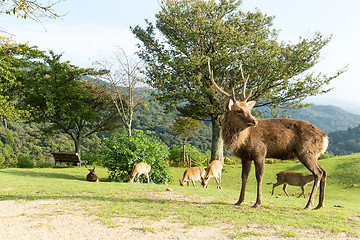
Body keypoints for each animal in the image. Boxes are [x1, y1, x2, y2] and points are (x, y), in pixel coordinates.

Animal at [208, 60, 330, 210]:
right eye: (239, 110)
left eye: (249, 109)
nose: (254, 121)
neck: (242, 141)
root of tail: (325, 138)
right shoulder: (245, 156)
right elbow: (244, 177)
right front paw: (239, 200)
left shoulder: (260, 151)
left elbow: (259, 176)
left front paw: (257, 202)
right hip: (314, 154)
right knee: (324, 172)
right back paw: (319, 204)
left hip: (306, 152)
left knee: (318, 173)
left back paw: (309, 204)